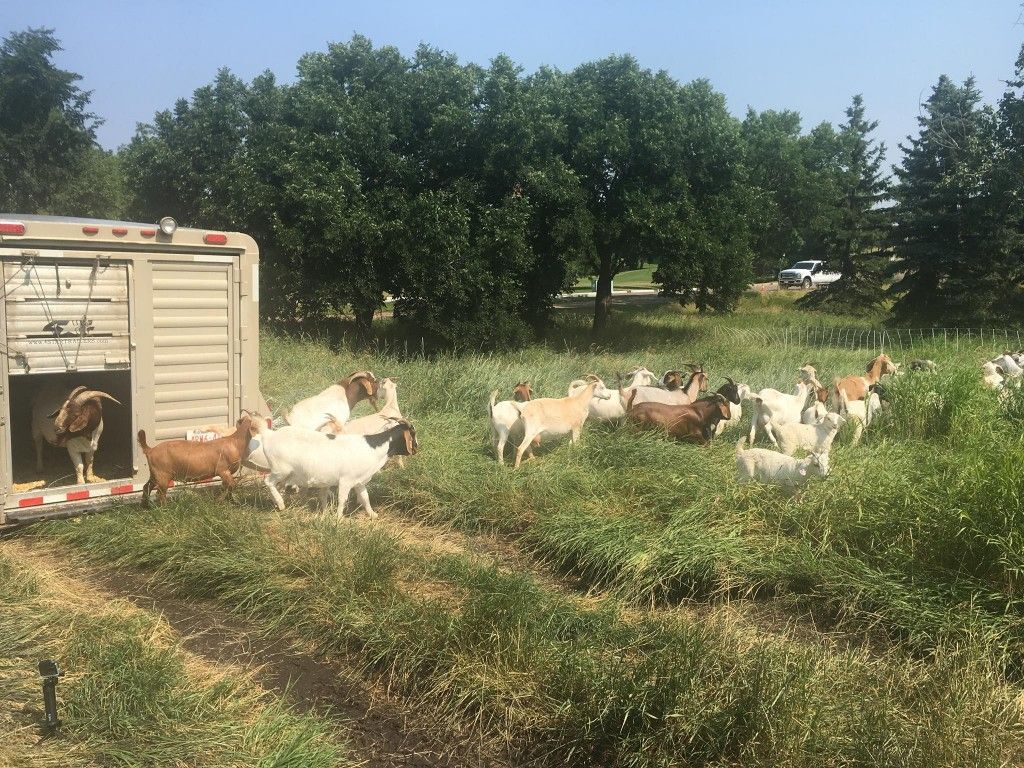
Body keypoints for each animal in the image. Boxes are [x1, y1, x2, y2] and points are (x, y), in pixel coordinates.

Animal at [251, 417, 418, 517]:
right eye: (413, 433)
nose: (417, 448)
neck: (373, 448)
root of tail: (269, 434)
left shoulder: (359, 482)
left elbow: (365, 498)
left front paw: (373, 515)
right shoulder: (346, 480)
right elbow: (342, 499)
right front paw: (338, 519)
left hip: (286, 474)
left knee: (276, 485)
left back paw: (279, 503)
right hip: (280, 470)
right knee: (268, 481)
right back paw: (280, 504)